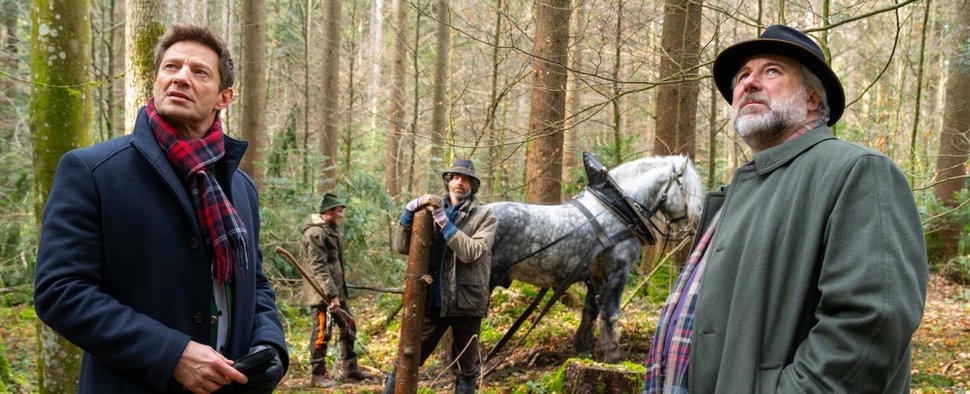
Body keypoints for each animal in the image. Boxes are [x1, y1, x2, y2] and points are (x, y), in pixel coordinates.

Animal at [488, 155, 700, 364]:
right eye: (686, 189)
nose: (695, 222)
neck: (616, 210)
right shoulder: (618, 270)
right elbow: (611, 313)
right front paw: (612, 353)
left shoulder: (596, 275)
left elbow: (591, 311)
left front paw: (585, 347)